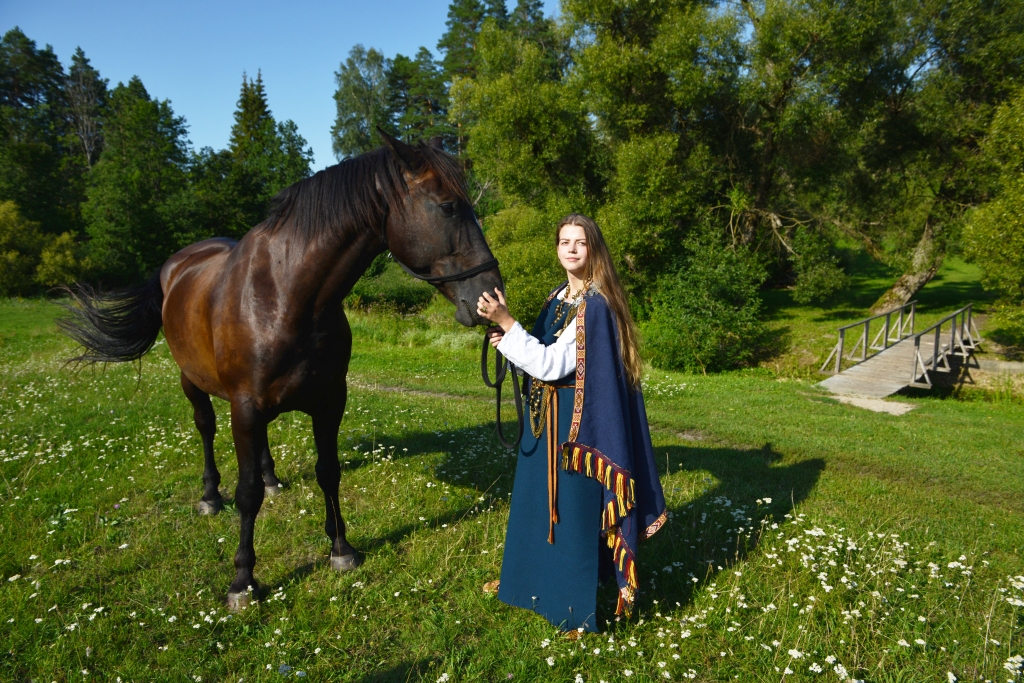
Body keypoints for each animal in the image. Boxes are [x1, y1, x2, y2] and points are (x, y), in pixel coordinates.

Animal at [59, 133, 503, 610]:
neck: (287, 296)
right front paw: (243, 581)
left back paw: (272, 479)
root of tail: (175, 265)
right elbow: (246, 494)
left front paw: (341, 549)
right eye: (448, 207)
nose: (492, 294)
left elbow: (328, 471)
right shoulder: (245, 408)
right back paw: (209, 497)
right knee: (205, 429)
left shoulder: (330, 401)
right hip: (193, 383)